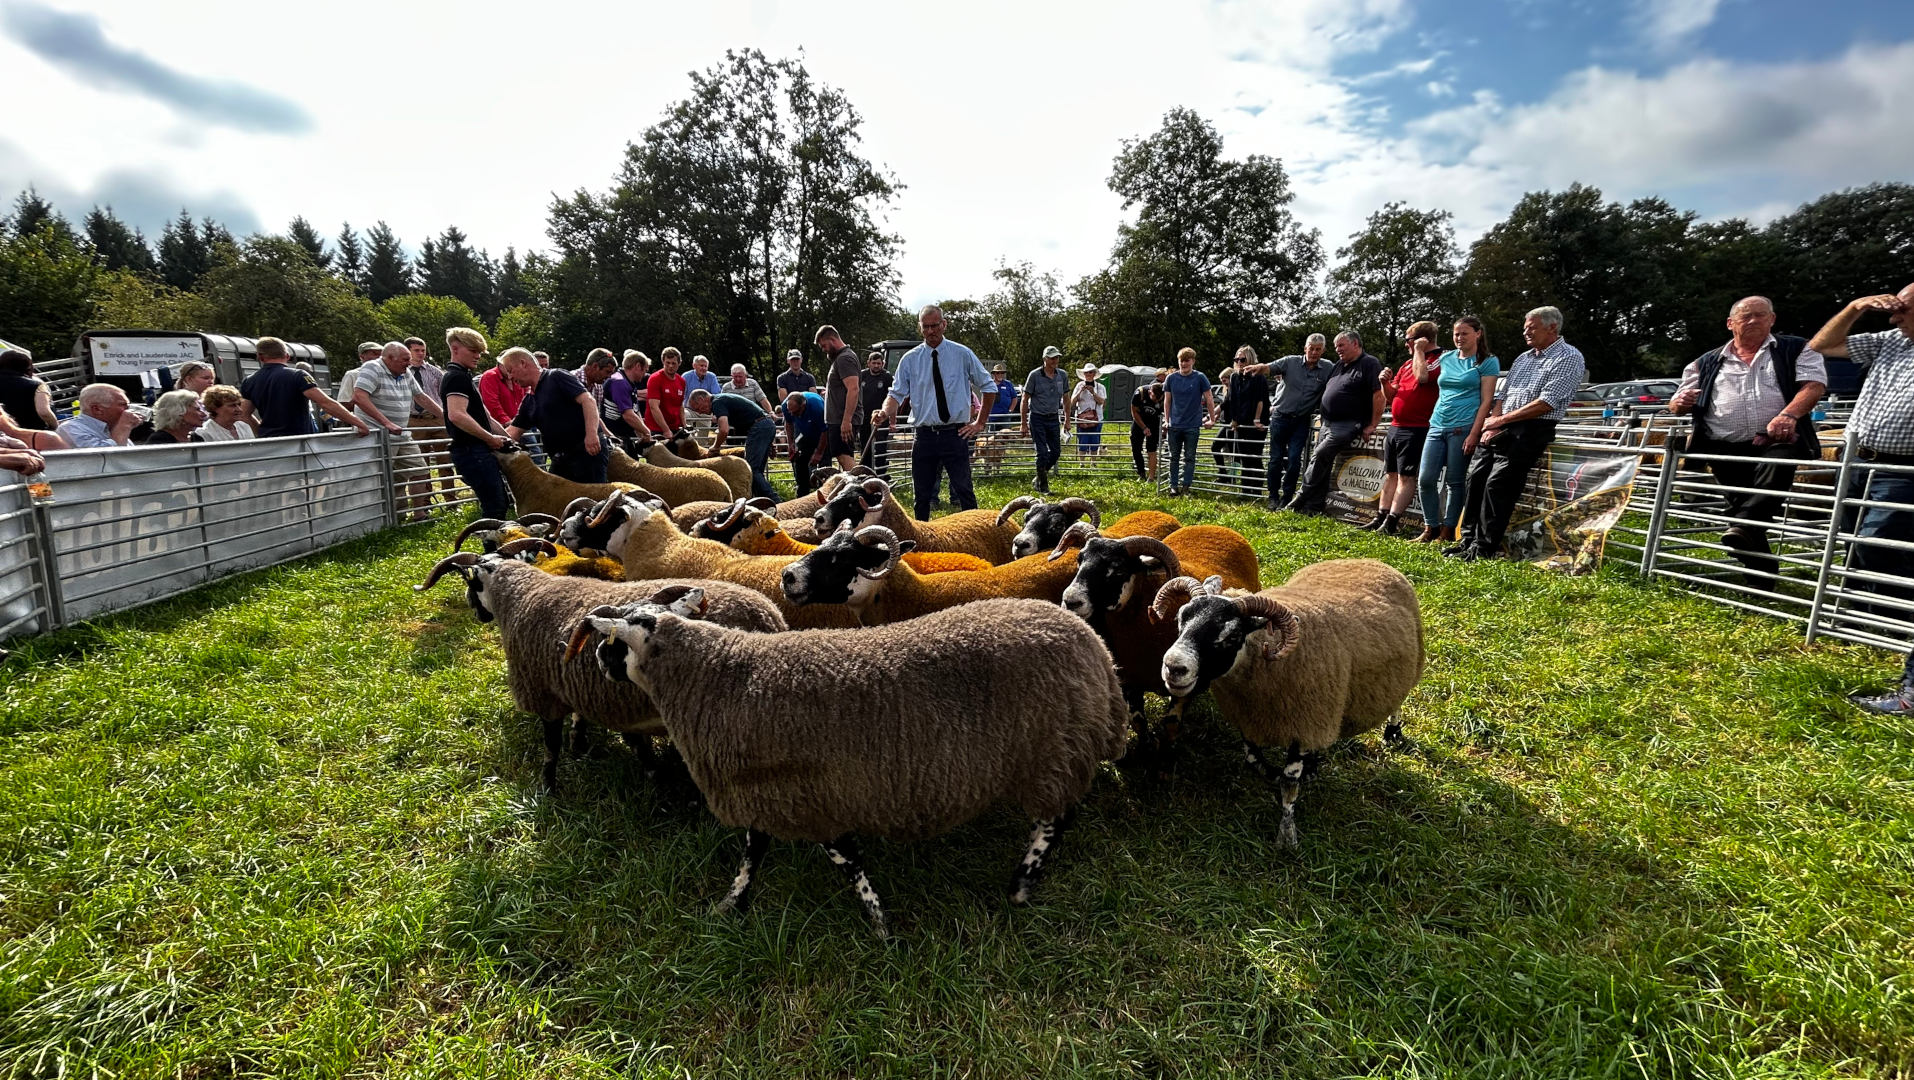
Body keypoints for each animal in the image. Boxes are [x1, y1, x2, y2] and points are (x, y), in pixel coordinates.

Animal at [414, 550, 786, 791]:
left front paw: (548, 788)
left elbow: (550, 747)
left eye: (471, 582)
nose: (476, 612)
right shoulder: (578, 685)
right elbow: (582, 723)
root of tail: (767, 616)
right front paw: (580, 746)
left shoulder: (543, 692)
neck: (520, 596)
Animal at [568, 594, 1130, 937]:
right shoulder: (772, 794)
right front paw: (732, 904)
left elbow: (845, 861)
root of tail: (1099, 650)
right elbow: (755, 852)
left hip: (1054, 754)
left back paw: (1020, 884)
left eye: (614, 641)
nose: (595, 658)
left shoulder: (814, 799)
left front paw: (878, 921)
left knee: (1055, 820)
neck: (718, 673)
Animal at [1055, 525, 1261, 763]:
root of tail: (1216, 526)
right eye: (1080, 559)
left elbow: (1171, 723)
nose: (1070, 601)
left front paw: (1166, 752)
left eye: (1118, 570)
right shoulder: (1130, 680)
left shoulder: (1187, 680)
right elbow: (1137, 719)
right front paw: (1147, 747)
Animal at [1152, 560, 1424, 848]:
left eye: (1233, 636)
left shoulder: (1305, 722)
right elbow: (1253, 758)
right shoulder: (1249, 719)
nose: (1174, 668)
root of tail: (1370, 561)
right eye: (1180, 620)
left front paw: (1287, 834)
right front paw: (1277, 773)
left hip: (1408, 668)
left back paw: (1393, 733)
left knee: (1397, 702)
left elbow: (1289, 783)